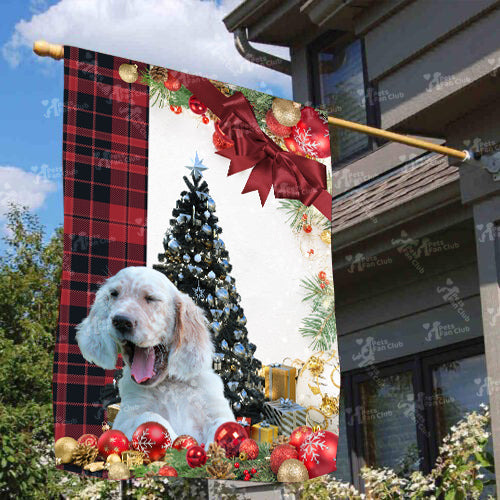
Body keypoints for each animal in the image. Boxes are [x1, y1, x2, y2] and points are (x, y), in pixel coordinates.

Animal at [75, 266, 234, 446]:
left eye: (151, 298)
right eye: (114, 294)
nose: (121, 321)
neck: (169, 383)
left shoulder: (216, 409)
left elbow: (223, 424)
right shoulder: (126, 417)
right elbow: (150, 416)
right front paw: (177, 440)